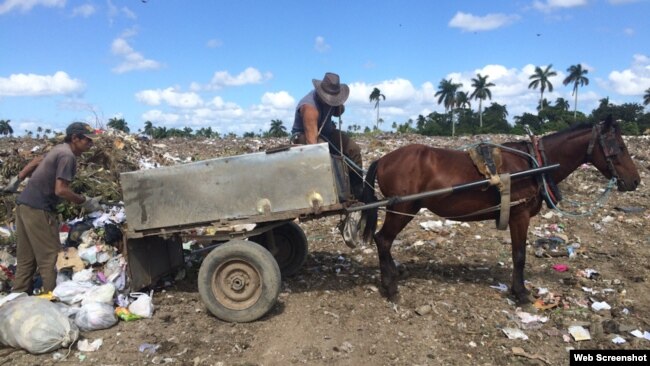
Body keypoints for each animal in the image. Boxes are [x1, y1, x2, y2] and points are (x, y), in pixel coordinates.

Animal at [360, 116, 636, 304]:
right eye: (620, 148)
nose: (635, 181)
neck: (534, 165)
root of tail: (383, 159)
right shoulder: (519, 216)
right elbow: (519, 256)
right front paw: (521, 293)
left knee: (384, 242)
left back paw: (393, 274)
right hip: (402, 208)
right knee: (383, 240)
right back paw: (390, 287)